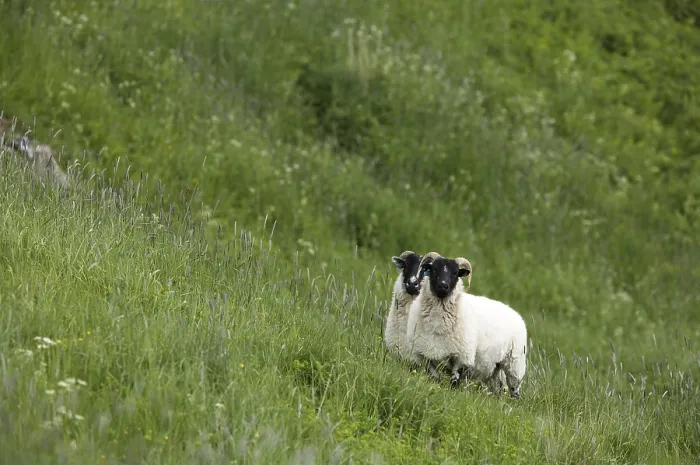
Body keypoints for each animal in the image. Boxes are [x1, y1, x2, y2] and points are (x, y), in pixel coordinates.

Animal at [406, 252, 527, 398]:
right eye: (433, 269)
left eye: (455, 273)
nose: (443, 286)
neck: (438, 325)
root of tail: (514, 312)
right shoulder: (424, 355)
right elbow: (436, 379)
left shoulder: (462, 356)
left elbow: (454, 381)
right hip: (496, 365)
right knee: (498, 385)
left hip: (514, 363)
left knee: (514, 389)